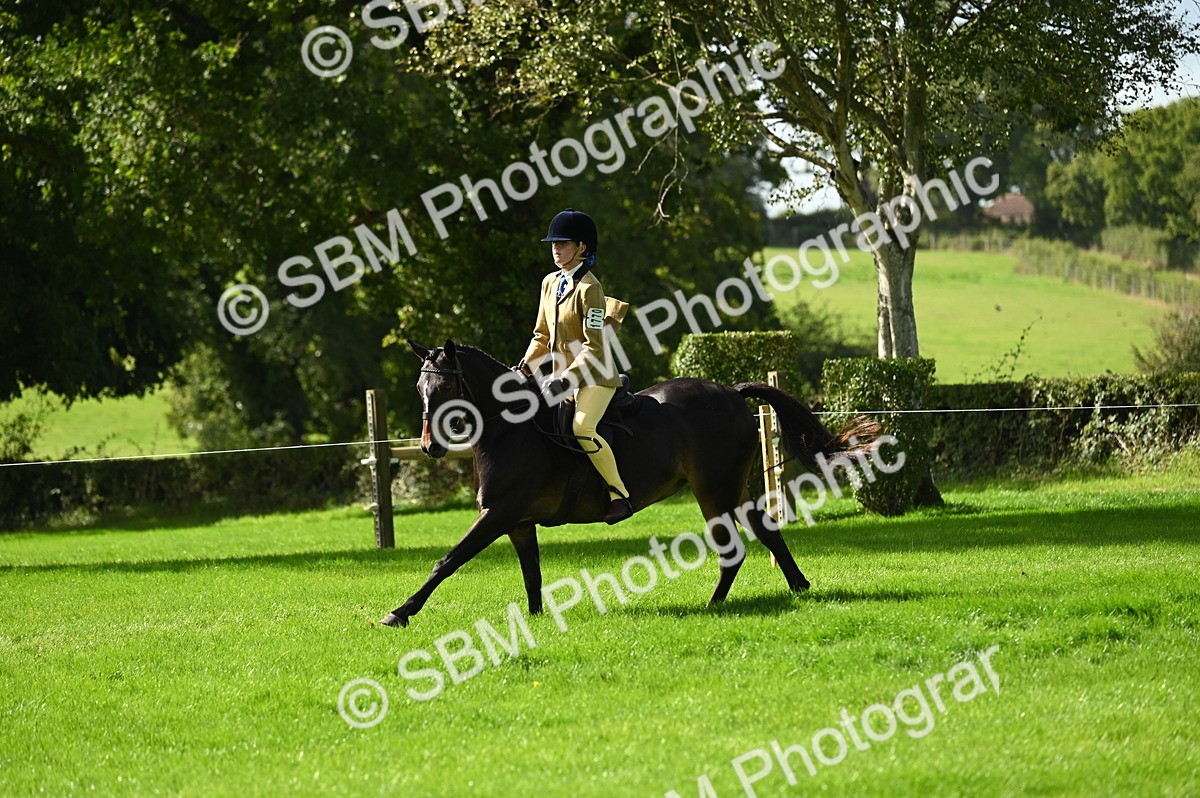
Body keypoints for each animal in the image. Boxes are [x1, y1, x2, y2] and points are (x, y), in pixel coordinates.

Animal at [381, 339, 878, 627]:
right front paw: (535, 620)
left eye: (447, 388)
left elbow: (446, 561)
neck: (511, 428)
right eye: (420, 389)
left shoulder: (498, 514)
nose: (429, 448)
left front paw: (400, 613)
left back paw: (715, 605)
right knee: (767, 532)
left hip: (713, 491)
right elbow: (532, 574)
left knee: (733, 549)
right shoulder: (517, 522)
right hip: (734, 491)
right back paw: (797, 588)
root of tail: (731, 392)